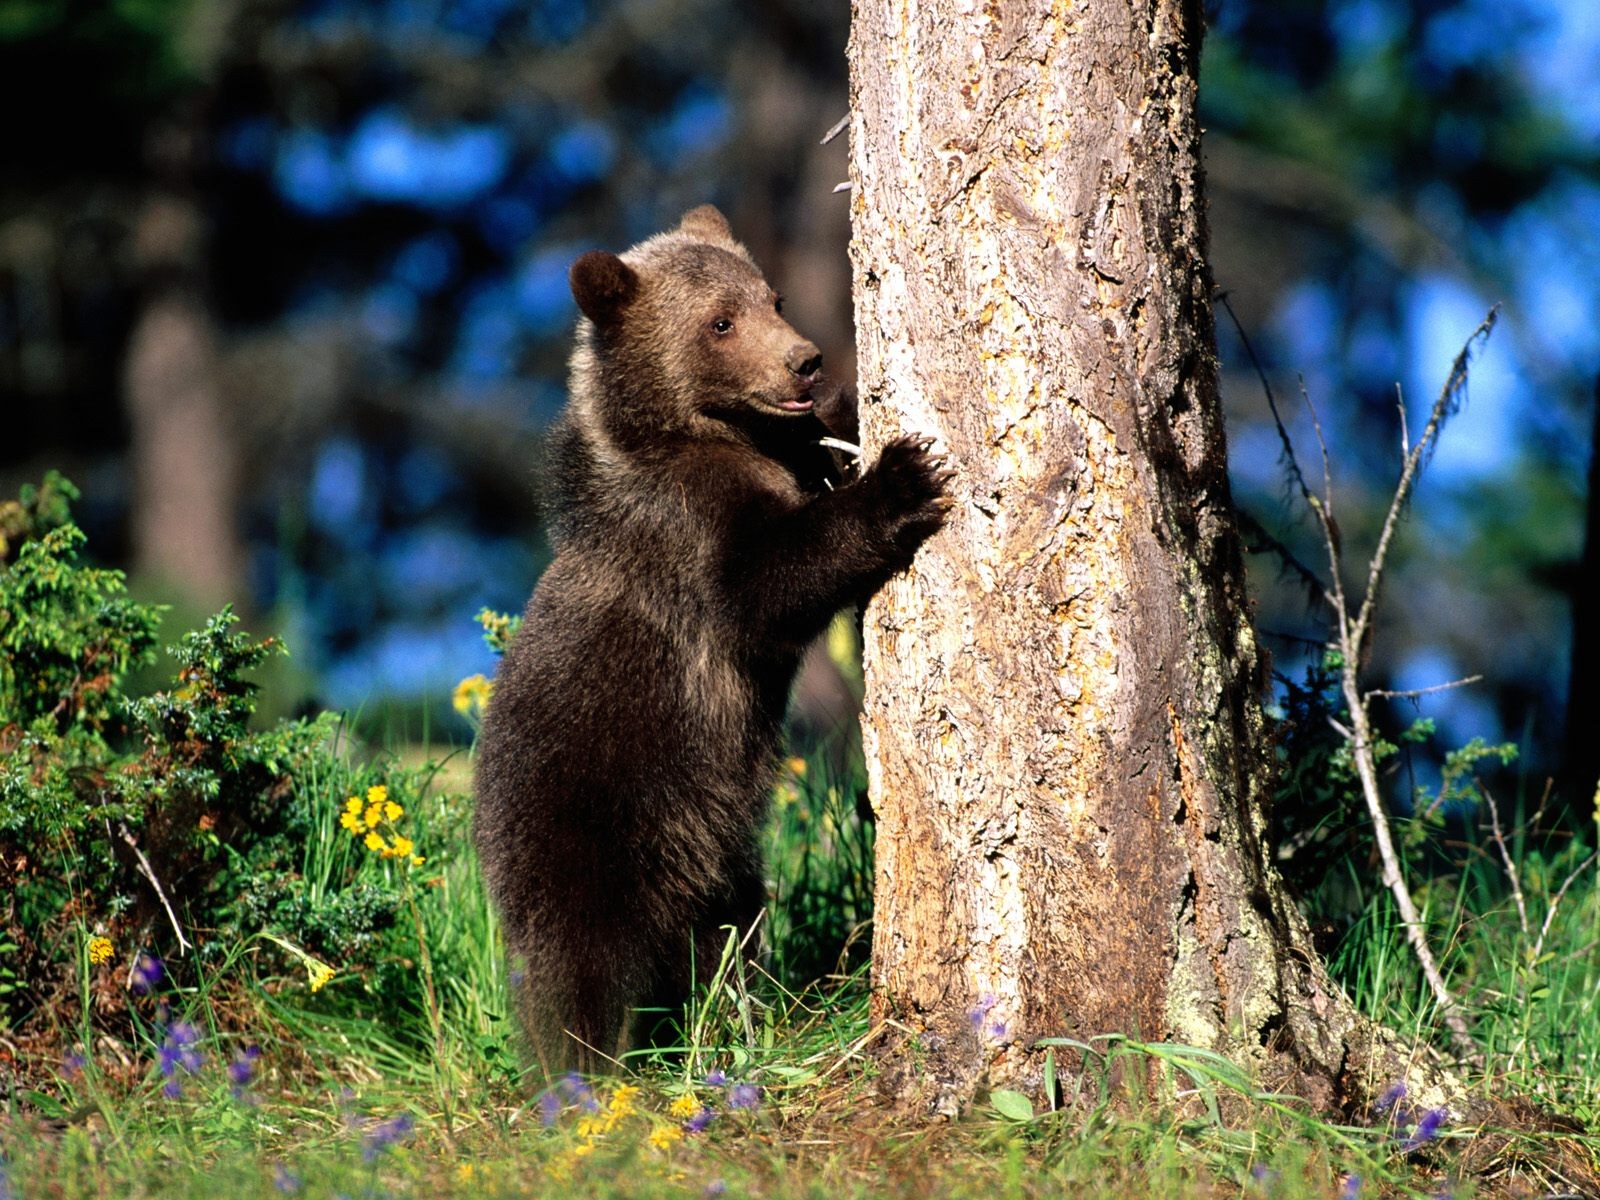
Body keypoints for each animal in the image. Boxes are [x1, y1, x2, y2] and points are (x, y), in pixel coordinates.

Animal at [470, 202, 947, 1075]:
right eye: (719, 322)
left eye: (773, 298)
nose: (805, 362)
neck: (708, 437)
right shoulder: (688, 537)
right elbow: (768, 585)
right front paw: (904, 475)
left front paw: (855, 419)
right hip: (593, 816)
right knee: (577, 968)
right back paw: (584, 1073)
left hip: (713, 845)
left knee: (727, 931)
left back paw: (733, 1017)